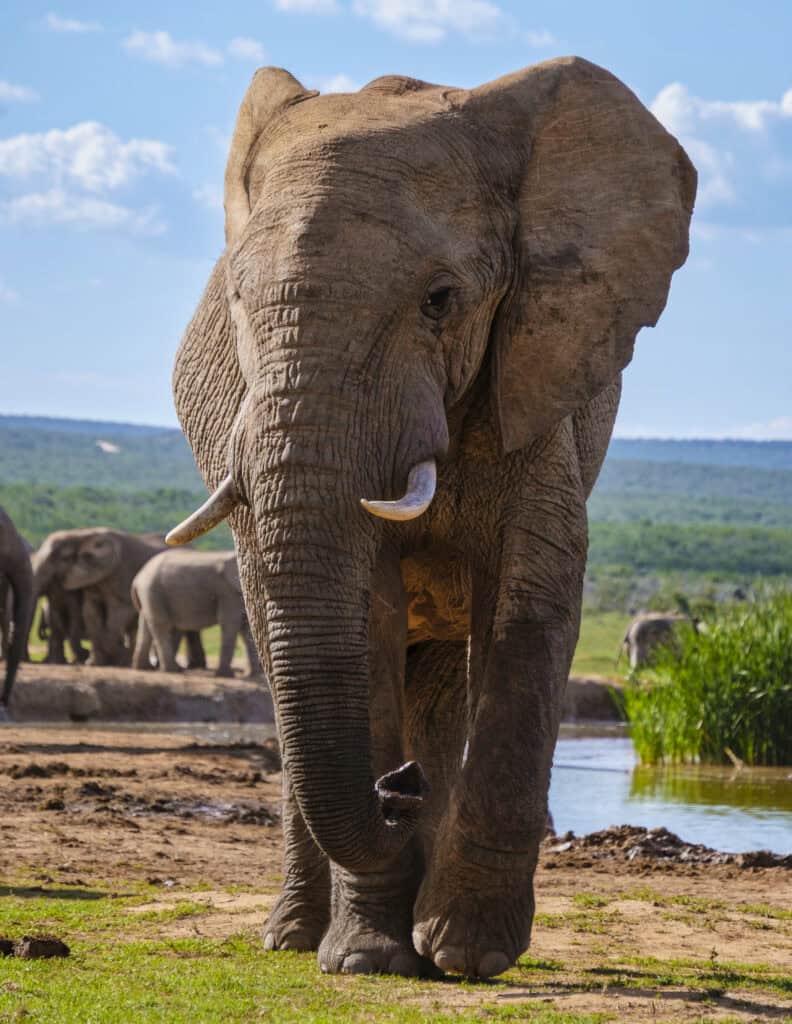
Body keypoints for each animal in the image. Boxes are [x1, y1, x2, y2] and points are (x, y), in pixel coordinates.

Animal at [131, 549, 262, 677]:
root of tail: (137, 579)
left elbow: (246, 627)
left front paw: (253, 675)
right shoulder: (227, 592)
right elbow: (230, 623)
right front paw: (226, 675)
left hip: (149, 595)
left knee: (146, 625)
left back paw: (145, 668)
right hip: (152, 591)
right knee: (161, 625)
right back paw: (172, 670)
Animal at [166, 57, 695, 979]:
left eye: (441, 300)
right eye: (235, 299)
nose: (396, 789)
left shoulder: (537, 370)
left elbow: (533, 602)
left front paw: (467, 955)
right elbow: (368, 619)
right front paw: (367, 959)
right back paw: (295, 936)